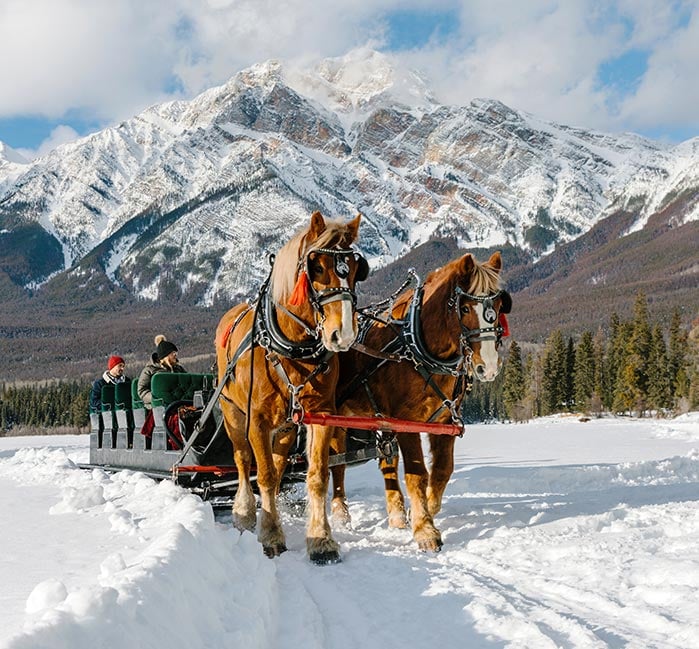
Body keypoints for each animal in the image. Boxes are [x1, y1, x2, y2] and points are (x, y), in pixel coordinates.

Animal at [215, 211, 366, 560]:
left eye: (355, 269)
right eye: (317, 267)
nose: (343, 334)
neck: (292, 347)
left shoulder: (320, 415)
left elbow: (317, 475)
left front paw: (321, 539)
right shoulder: (255, 419)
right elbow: (264, 475)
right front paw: (271, 535)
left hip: (285, 425)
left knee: (279, 461)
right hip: (232, 413)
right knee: (243, 460)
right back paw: (244, 512)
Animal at [330, 251, 512, 548]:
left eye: (498, 305)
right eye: (463, 309)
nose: (489, 367)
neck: (418, 346)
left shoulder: (444, 421)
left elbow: (442, 471)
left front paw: (425, 509)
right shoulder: (407, 422)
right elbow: (417, 474)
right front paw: (425, 529)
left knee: (387, 463)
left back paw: (396, 516)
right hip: (336, 416)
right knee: (336, 463)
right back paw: (340, 514)